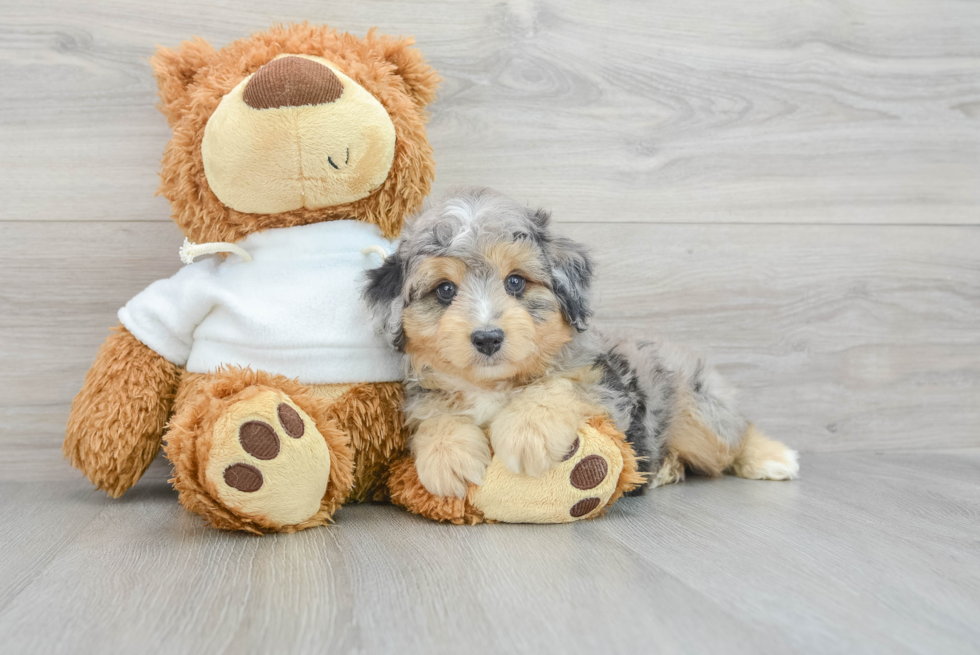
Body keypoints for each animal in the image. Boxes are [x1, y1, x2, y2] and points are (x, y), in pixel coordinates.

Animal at [364, 187, 800, 500]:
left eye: (516, 282)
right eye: (445, 290)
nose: (487, 338)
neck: (495, 384)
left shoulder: (608, 391)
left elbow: (558, 386)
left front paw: (527, 431)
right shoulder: (424, 397)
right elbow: (435, 415)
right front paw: (447, 456)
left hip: (697, 412)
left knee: (735, 434)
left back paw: (772, 457)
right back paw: (668, 468)